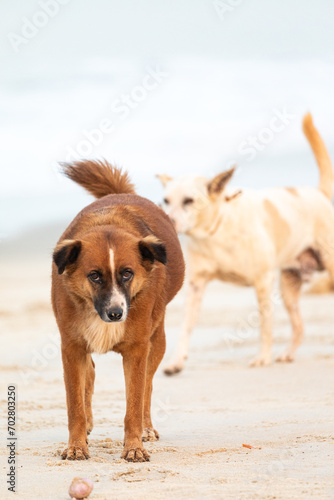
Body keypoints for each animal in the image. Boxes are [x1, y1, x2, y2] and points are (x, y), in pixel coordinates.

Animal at [51, 160, 185, 460]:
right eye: (94, 276)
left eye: (127, 273)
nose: (116, 314)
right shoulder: (71, 346)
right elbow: (74, 404)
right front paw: (76, 445)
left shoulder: (137, 350)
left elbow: (134, 402)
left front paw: (134, 447)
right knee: (89, 372)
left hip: (156, 340)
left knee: (147, 386)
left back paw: (146, 429)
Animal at [158, 112, 334, 372]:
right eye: (166, 201)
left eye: (189, 201)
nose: (167, 219)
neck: (214, 233)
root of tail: (318, 193)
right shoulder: (196, 286)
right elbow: (186, 325)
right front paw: (176, 361)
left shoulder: (263, 282)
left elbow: (265, 324)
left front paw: (263, 357)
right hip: (289, 286)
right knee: (299, 327)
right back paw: (288, 353)